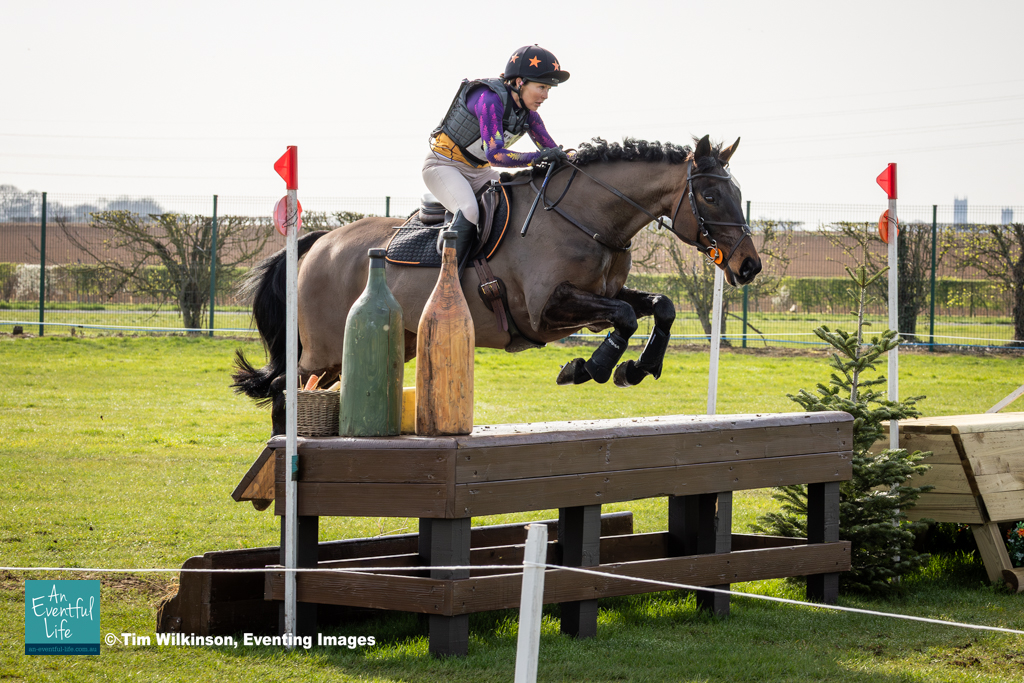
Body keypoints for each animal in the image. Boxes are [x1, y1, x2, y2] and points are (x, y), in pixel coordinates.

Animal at [233, 135, 761, 435]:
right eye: (709, 195)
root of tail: (319, 242)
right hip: (322, 351)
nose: (749, 266)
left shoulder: (601, 298)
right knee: (284, 388)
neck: (588, 220)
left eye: (737, 193)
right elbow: (628, 317)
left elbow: (660, 306)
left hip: (381, 345)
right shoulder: (546, 311)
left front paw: (636, 368)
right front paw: (587, 367)